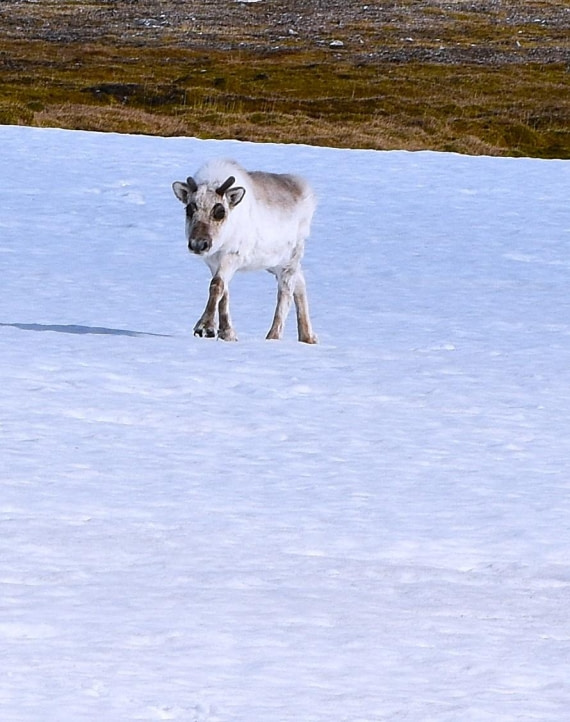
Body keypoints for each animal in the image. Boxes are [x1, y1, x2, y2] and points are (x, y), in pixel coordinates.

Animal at [172, 159, 318, 344]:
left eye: (220, 211)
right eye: (189, 209)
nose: (198, 244)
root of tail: (306, 189)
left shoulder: (233, 256)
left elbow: (216, 285)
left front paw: (205, 327)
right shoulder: (213, 262)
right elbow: (224, 292)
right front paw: (227, 333)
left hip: (290, 260)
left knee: (285, 294)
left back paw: (273, 337)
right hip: (276, 263)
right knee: (300, 283)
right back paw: (308, 337)